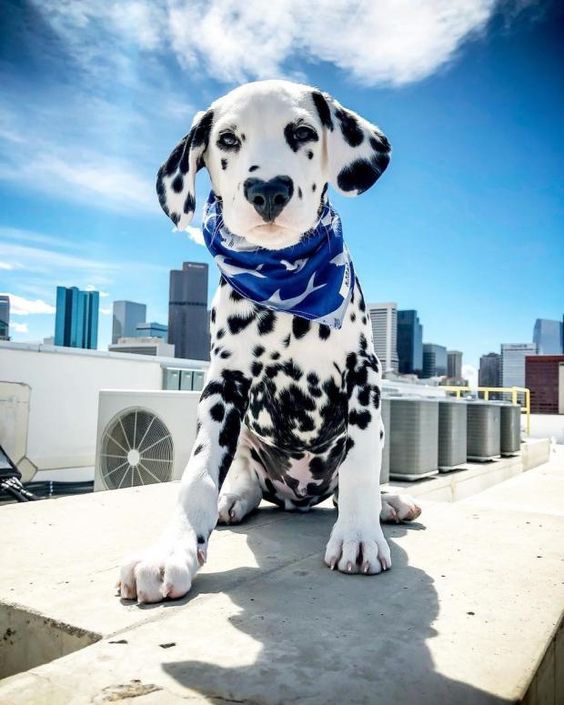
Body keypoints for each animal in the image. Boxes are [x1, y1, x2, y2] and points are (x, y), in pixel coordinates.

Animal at [118, 80, 418, 604]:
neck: (285, 278)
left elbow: (359, 465)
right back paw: (232, 499)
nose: (267, 190)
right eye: (227, 140)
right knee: (245, 481)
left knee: (345, 483)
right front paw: (169, 552)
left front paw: (359, 535)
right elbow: (197, 474)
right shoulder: (223, 385)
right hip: (246, 444)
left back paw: (387, 504)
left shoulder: (364, 375)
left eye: (302, 132)